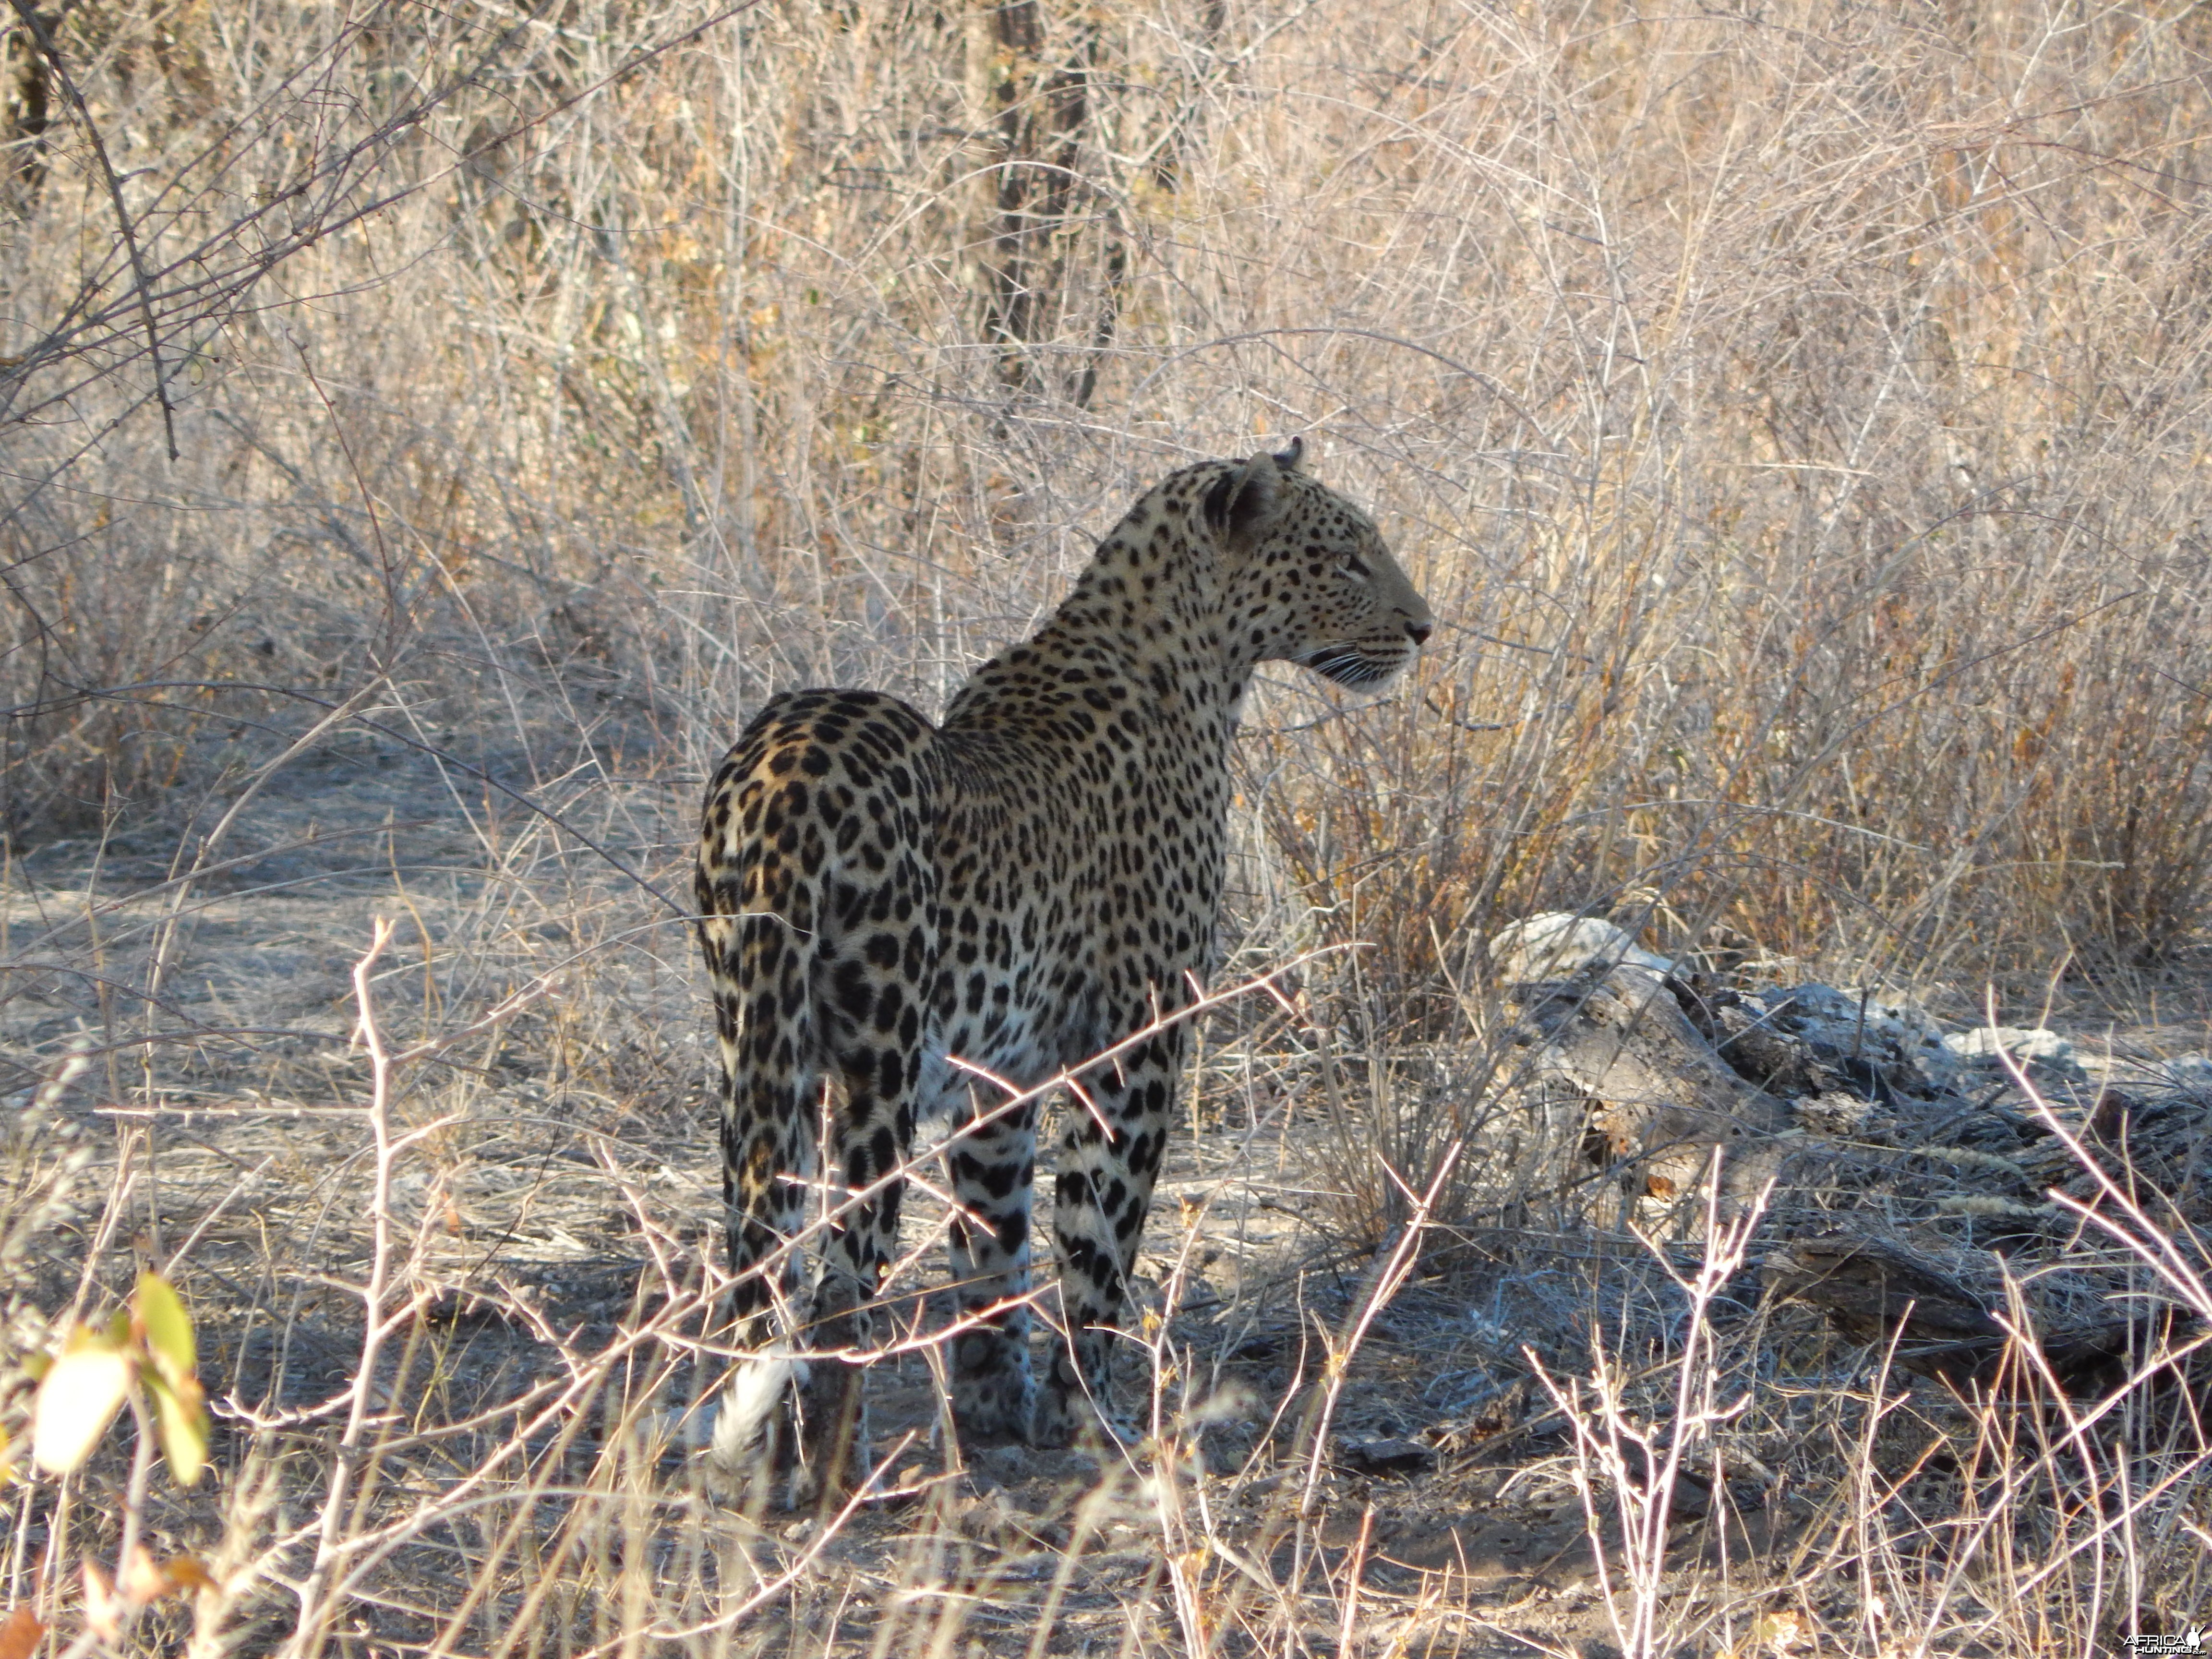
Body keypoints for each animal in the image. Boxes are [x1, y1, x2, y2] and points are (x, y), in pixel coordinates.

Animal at [699, 442, 1442, 1504]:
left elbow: (995, 1242)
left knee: (759, 1261)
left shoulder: (999, 1073)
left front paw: (996, 1405)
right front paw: (1092, 1417)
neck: (1194, 662)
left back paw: (756, 1468)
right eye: (1344, 560)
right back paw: (834, 1473)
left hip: (758, 1050)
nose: (1422, 628)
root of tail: (785, 771)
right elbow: (1101, 1238)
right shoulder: (1138, 1043)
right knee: (843, 1277)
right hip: (878, 1062)